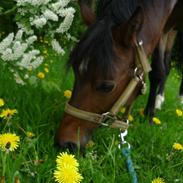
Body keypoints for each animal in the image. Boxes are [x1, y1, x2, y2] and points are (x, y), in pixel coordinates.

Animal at [55, 0, 183, 151]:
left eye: (106, 86)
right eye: (76, 72)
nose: (65, 143)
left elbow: (157, 71)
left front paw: (149, 117)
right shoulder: (162, 27)